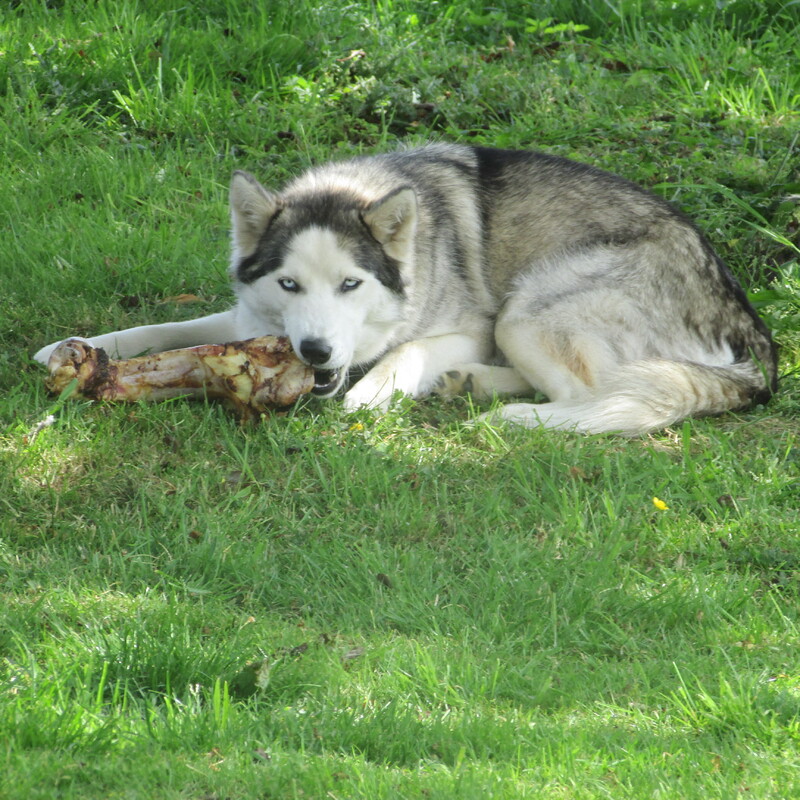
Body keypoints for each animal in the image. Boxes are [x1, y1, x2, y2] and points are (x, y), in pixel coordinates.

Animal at [34, 141, 780, 434]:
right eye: (289, 283)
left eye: (351, 284)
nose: (314, 354)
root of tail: (758, 339)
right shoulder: (248, 315)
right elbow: (162, 330)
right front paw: (76, 349)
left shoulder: (470, 325)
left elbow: (406, 351)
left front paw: (372, 391)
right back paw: (469, 386)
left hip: (524, 313)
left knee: (591, 399)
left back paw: (503, 409)